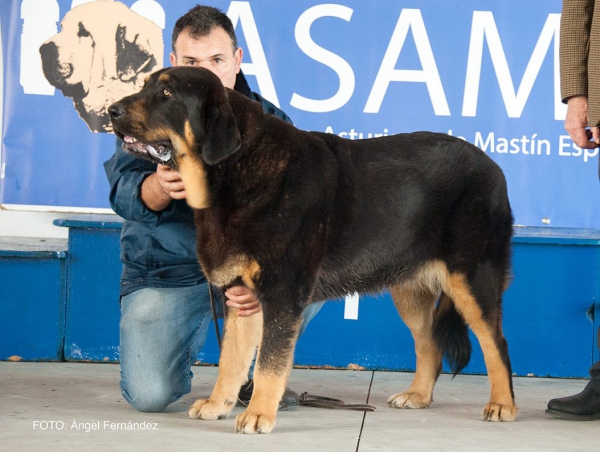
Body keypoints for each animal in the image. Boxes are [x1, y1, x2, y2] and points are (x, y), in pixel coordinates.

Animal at [110, 66, 516, 430]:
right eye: (145, 86)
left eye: (167, 94)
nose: (111, 110)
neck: (235, 170)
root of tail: (494, 167)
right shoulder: (242, 295)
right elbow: (233, 359)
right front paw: (218, 404)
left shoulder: (282, 293)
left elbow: (270, 362)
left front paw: (258, 414)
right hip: (410, 290)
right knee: (429, 344)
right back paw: (418, 395)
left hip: (472, 279)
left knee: (496, 343)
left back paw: (502, 404)